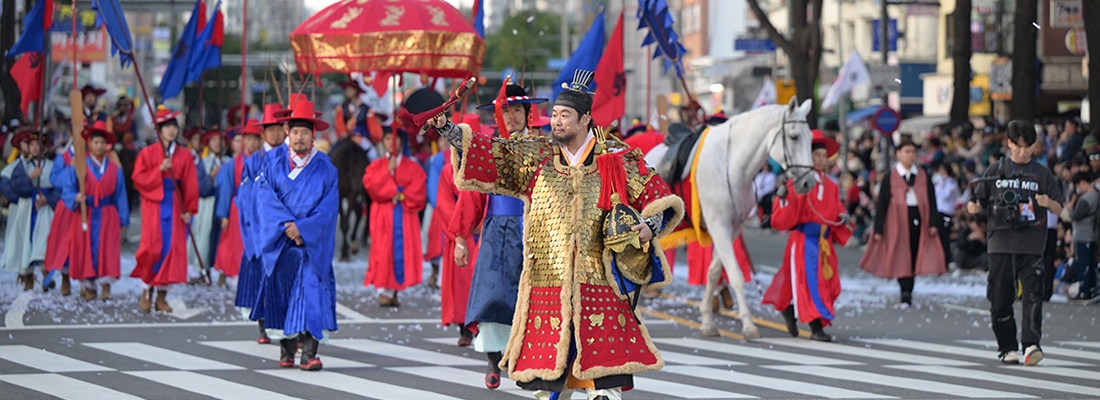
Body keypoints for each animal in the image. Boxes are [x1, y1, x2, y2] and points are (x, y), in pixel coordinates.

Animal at [651, 97, 818, 338]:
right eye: (794, 136)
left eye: (811, 139)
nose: (808, 182)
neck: (732, 164)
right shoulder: (718, 226)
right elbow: (736, 275)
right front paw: (748, 324)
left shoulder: (732, 227)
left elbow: (714, 272)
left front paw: (707, 320)